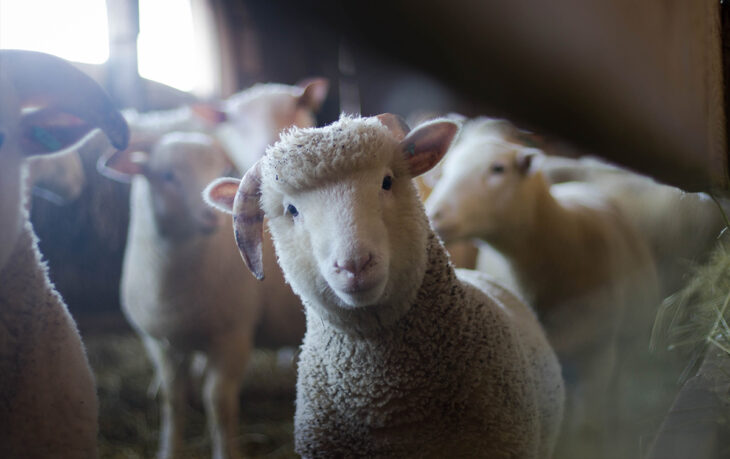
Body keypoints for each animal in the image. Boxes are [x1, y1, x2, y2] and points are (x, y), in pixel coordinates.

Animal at [97, 130, 302, 459]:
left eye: (220, 170)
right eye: (168, 175)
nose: (211, 216)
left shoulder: (234, 337)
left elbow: (218, 402)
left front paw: (226, 452)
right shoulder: (160, 343)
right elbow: (172, 399)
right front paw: (168, 450)